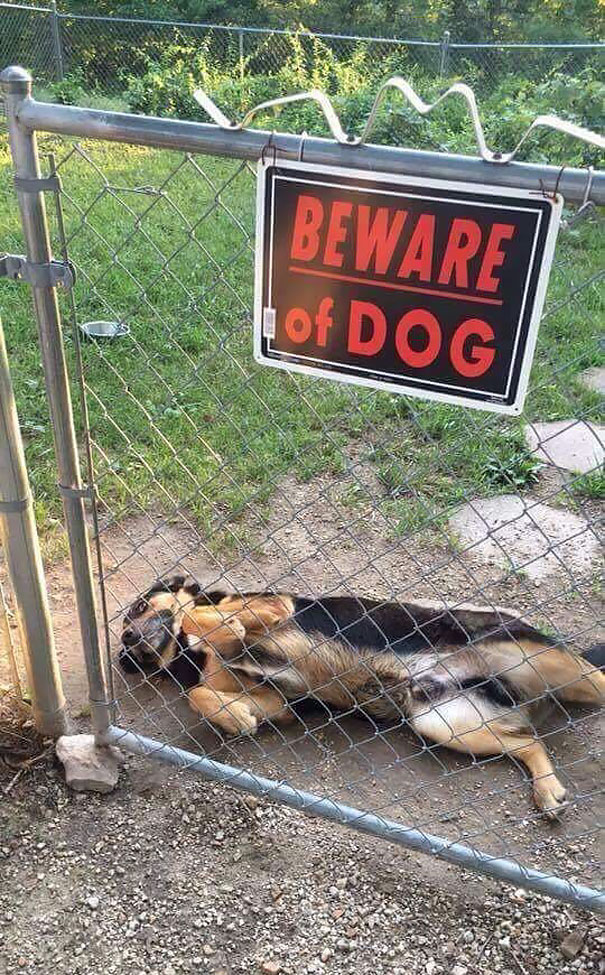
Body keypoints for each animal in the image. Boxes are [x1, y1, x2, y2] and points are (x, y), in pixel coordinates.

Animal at [119, 576, 604, 820]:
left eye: (140, 607)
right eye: (126, 625)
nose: (126, 639)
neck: (191, 653)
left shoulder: (275, 608)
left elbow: (208, 613)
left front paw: (213, 624)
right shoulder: (282, 702)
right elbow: (202, 692)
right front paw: (234, 717)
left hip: (540, 658)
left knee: (592, 679)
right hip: (442, 721)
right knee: (529, 741)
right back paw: (548, 790)